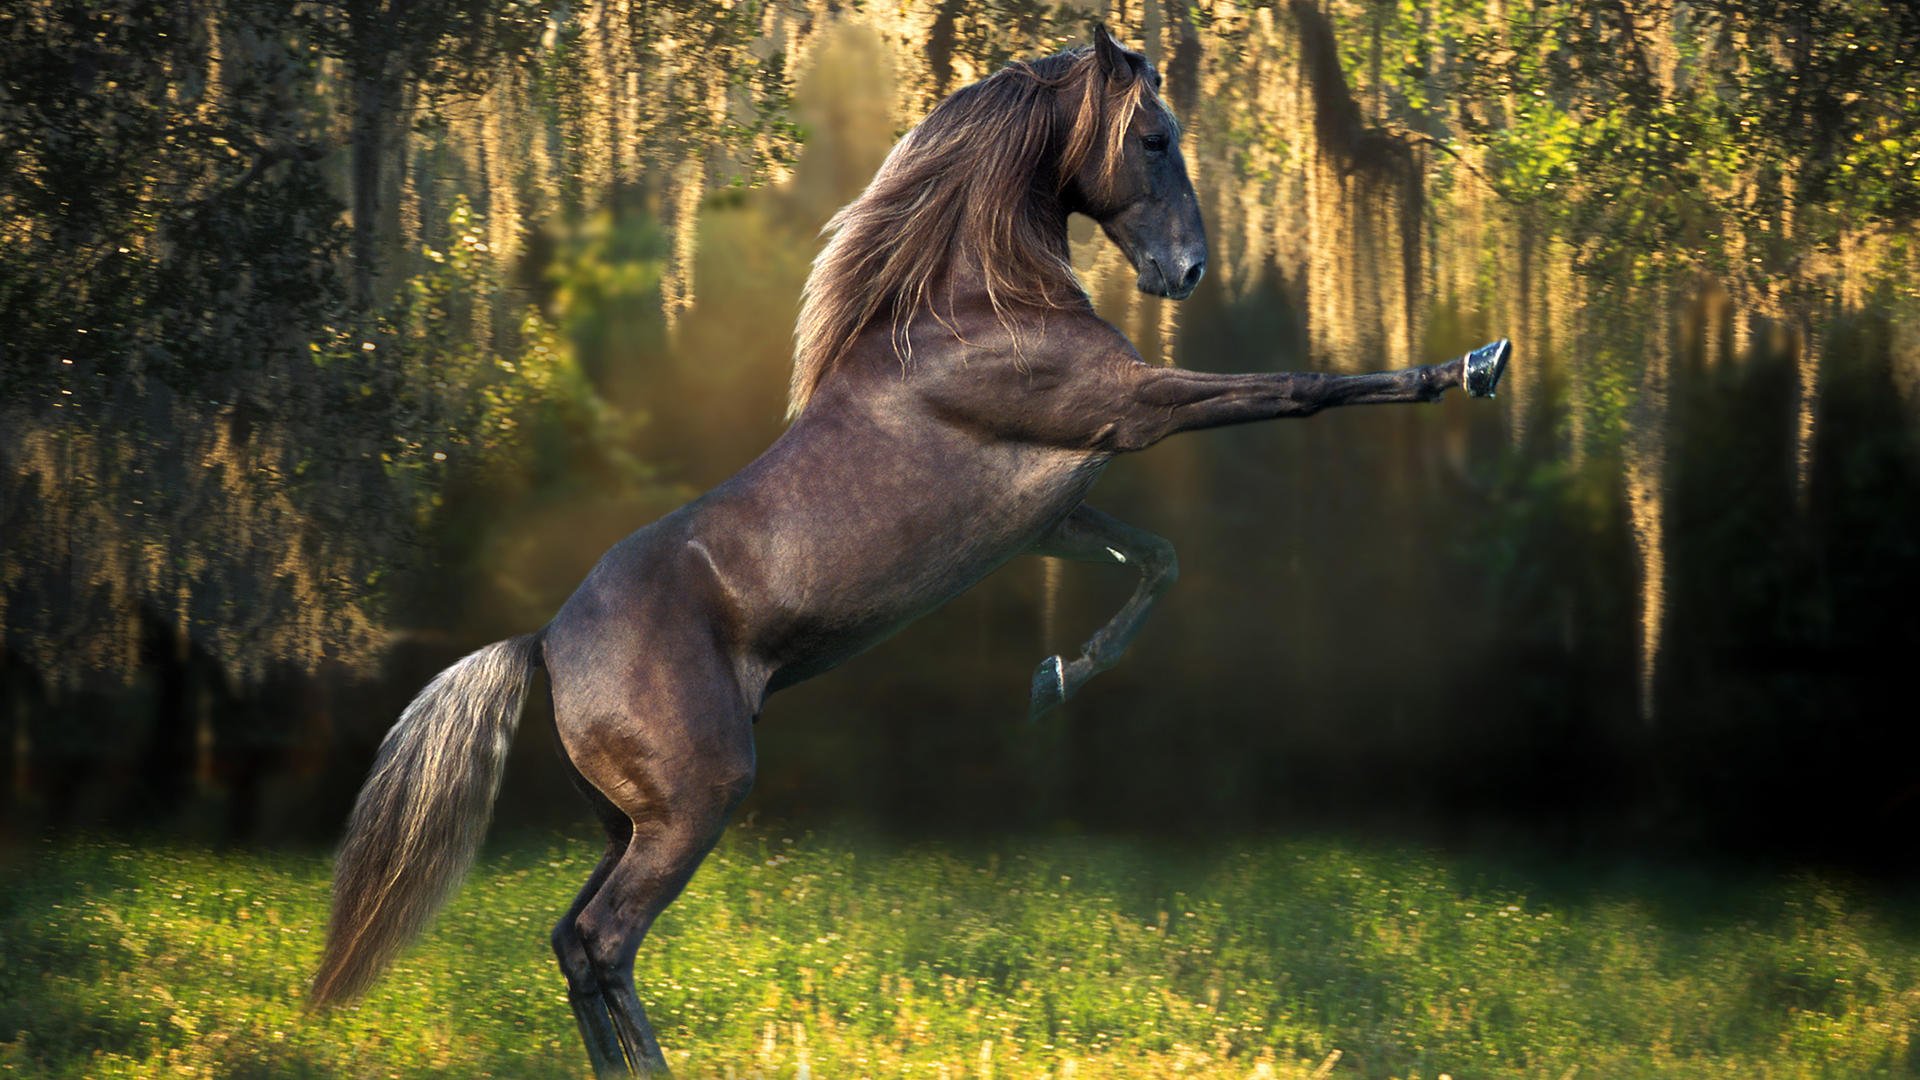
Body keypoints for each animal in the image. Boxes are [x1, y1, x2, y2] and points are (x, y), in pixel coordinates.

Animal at [308, 26, 1510, 1076]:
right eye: (1155, 138)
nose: (1189, 271)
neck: (977, 306)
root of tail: (544, 644)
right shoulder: (1133, 410)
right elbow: (1302, 389)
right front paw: (1472, 365)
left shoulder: (1056, 514)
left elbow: (1157, 560)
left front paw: (1054, 679)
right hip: (693, 804)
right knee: (604, 942)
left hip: (628, 819)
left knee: (572, 944)